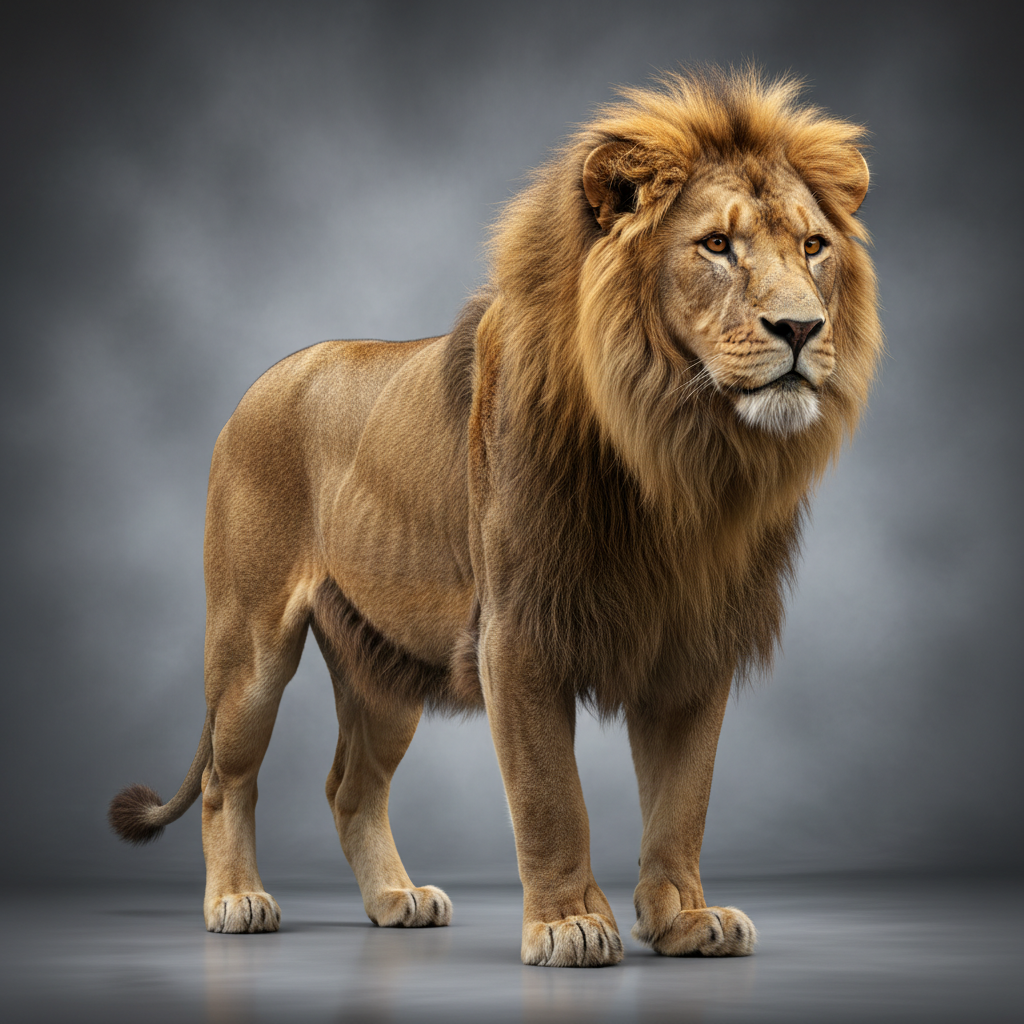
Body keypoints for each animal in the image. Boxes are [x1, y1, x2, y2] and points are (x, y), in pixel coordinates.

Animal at [110, 68, 881, 967]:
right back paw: (237, 900)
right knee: (226, 779)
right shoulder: (519, 632)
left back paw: (398, 898)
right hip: (250, 643)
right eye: (717, 246)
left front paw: (686, 919)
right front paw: (570, 924)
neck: (680, 448)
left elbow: (684, 798)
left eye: (814, 246)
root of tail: (270, 376)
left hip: (384, 666)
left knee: (350, 786)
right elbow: (551, 796)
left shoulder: (693, 639)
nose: (801, 327)